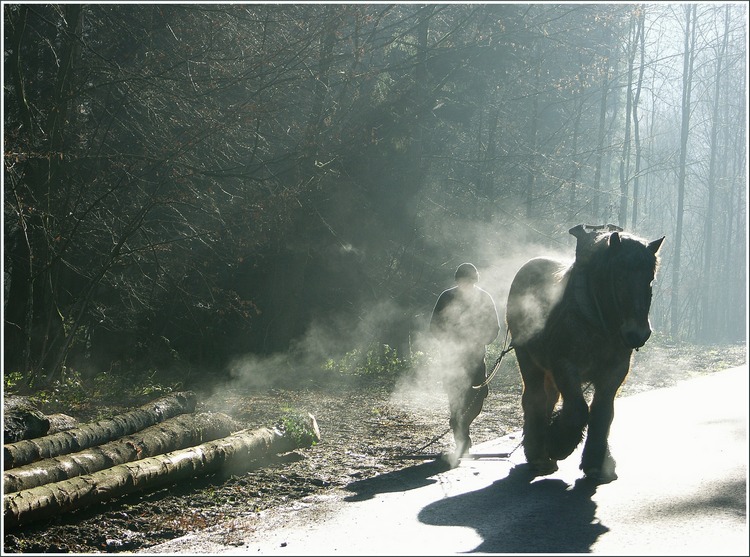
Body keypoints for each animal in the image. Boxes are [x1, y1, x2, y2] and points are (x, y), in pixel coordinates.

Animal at [508, 224, 668, 480]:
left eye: (649, 278)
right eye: (618, 275)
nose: (638, 333)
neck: (594, 318)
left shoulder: (615, 371)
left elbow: (602, 412)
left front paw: (596, 461)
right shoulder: (565, 366)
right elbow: (578, 411)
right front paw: (559, 443)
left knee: (550, 398)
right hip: (528, 359)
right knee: (534, 399)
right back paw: (538, 453)